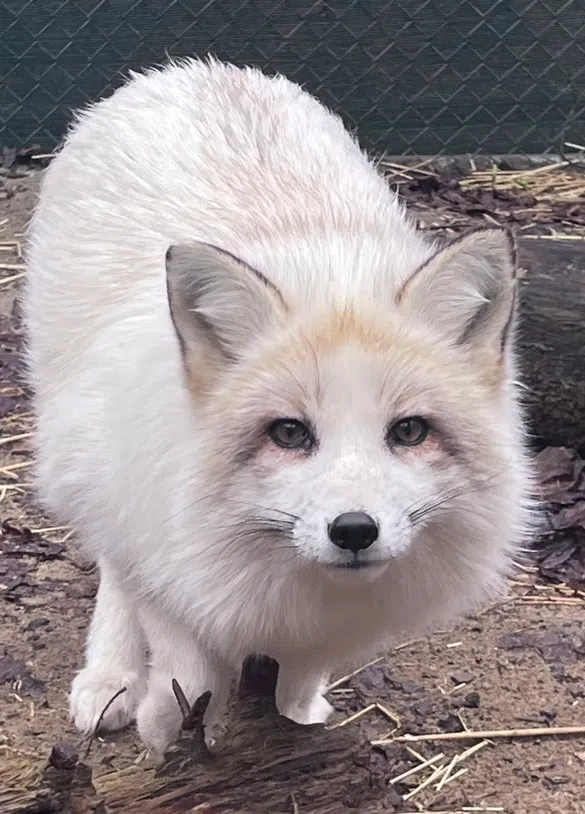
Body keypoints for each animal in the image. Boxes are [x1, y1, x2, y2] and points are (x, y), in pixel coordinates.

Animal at [22, 55, 532, 760]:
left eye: (409, 431)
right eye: (289, 433)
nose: (354, 530)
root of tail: (192, 69)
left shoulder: (322, 631)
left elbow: (295, 685)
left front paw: (293, 734)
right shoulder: (166, 558)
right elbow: (188, 669)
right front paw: (172, 734)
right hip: (85, 450)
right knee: (113, 563)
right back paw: (112, 677)